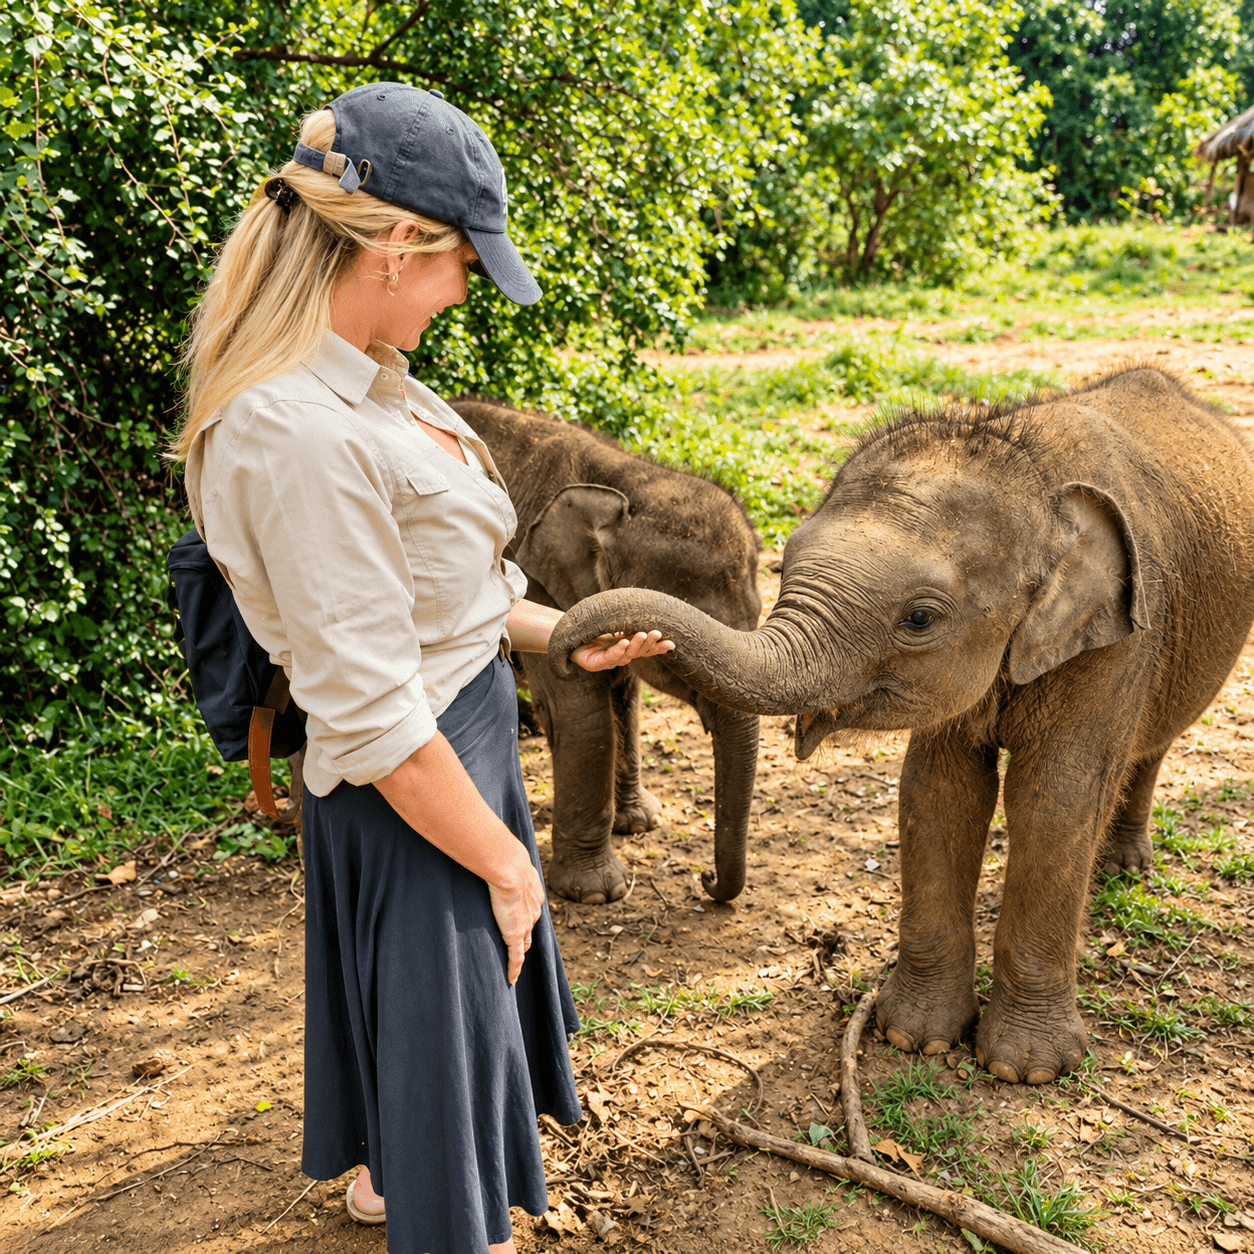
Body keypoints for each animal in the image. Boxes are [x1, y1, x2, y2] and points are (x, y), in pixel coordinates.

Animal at [449, 395, 762, 905]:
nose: (706, 880)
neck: (622, 480)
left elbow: (626, 696)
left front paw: (639, 823)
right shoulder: (540, 581)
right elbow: (581, 712)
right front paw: (596, 893)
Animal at [548, 368, 1254, 1082]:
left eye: (919, 618)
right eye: (784, 564)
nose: (567, 645)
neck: (1029, 467)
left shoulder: (1116, 642)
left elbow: (1055, 801)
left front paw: (1022, 1070)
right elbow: (937, 791)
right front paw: (915, 1038)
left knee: (1151, 745)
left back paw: (1124, 866)